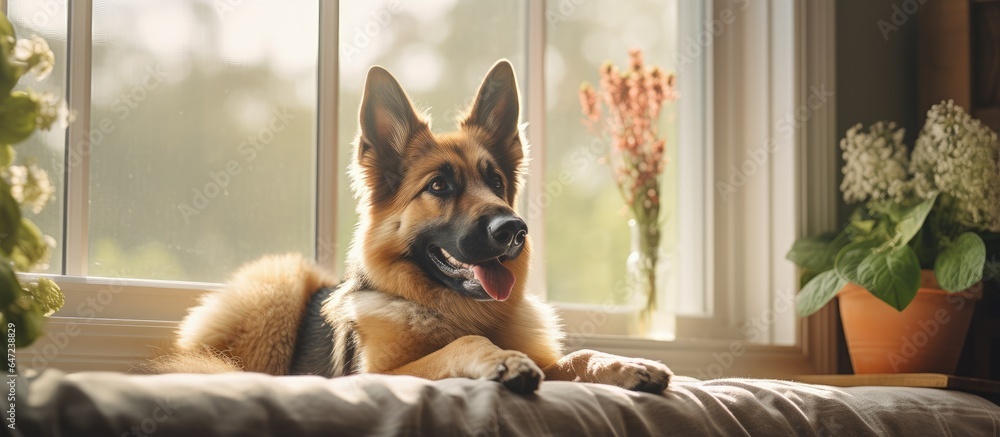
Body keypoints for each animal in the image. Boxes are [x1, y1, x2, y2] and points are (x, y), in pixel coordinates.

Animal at [141, 59, 672, 394]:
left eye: (496, 182)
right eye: (439, 186)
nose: (514, 230)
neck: (455, 309)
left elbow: (577, 357)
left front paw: (621, 363)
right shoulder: (376, 375)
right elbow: (464, 344)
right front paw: (501, 359)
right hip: (279, 282)